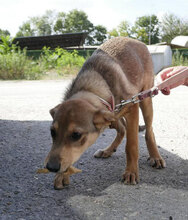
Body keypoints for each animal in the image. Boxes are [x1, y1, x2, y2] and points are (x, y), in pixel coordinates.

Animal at [44, 36, 165, 187]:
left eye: (76, 135)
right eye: (52, 132)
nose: (51, 167)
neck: (92, 89)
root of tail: (137, 41)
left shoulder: (132, 109)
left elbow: (131, 146)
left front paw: (131, 171)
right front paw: (62, 174)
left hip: (145, 101)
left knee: (149, 131)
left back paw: (155, 156)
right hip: (112, 117)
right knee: (122, 130)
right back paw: (108, 150)